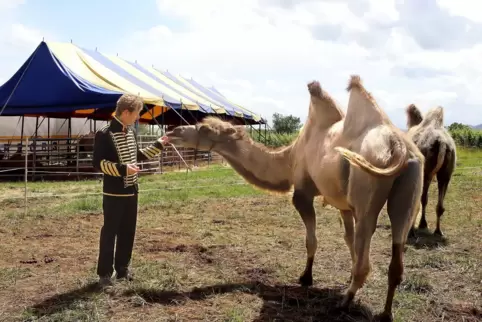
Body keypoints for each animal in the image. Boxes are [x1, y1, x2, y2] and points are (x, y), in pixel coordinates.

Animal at [168, 75, 424, 320]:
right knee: (396, 254)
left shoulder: (302, 193)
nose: (172, 133)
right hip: (410, 183)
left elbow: (311, 240)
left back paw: (344, 303)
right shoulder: (344, 204)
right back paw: (385, 313)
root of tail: (398, 146)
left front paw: (306, 278)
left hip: (367, 188)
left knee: (366, 254)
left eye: (204, 129)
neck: (289, 158)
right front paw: (344, 278)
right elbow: (349, 240)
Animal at [404, 104, 458, 236]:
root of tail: (443, 143)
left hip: (426, 172)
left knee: (422, 199)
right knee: (439, 205)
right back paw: (437, 230)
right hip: (446, 173)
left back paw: (417, 228)